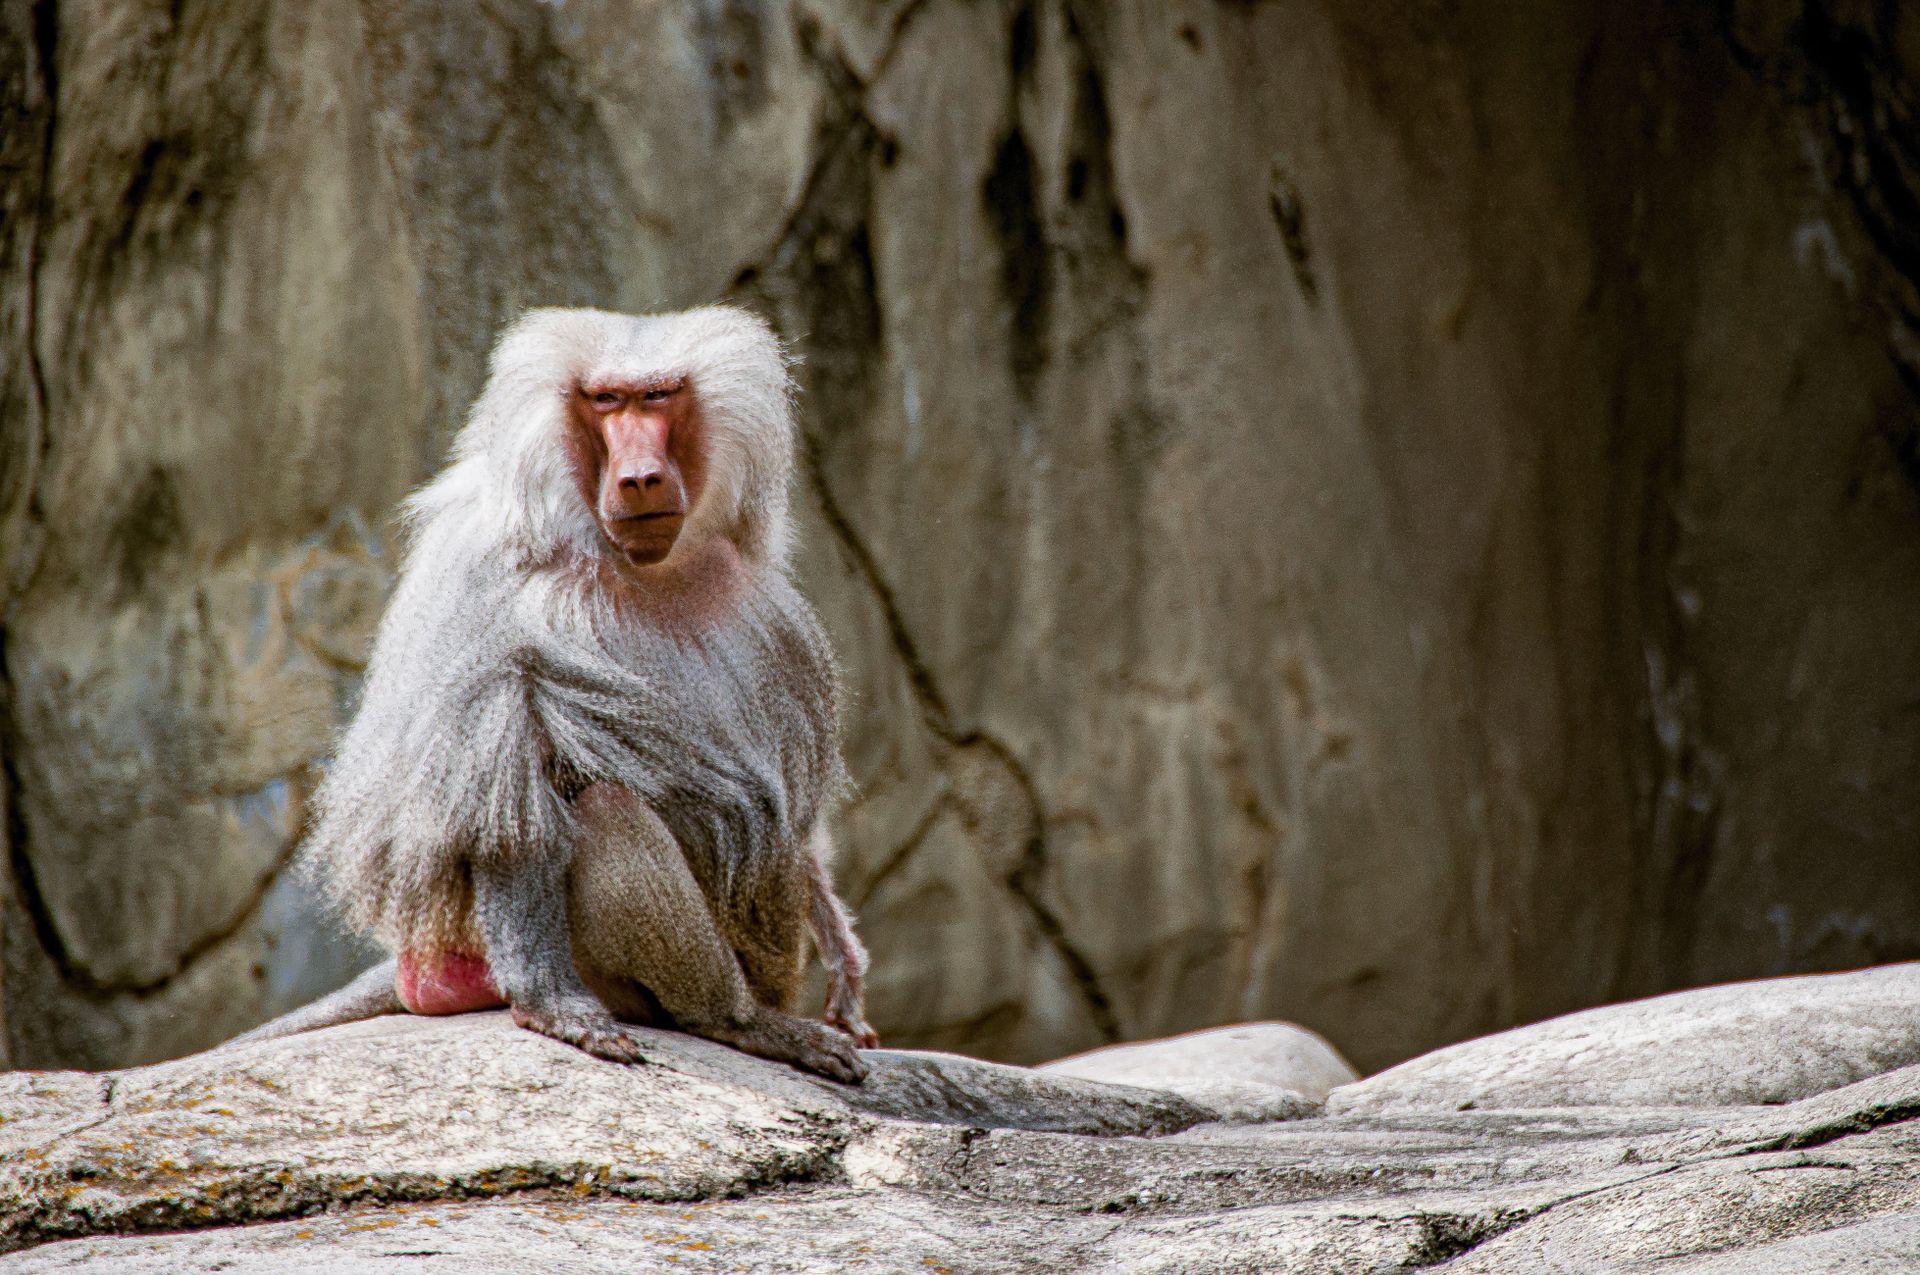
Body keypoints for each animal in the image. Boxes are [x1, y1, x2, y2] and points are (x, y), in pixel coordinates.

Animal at [229, 306, 877, 1083]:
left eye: (657, 397)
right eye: (606, 402)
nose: (640, 478)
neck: (643, 568)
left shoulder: (775, 616)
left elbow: (800, 828)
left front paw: (845, 963)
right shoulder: (487, 582)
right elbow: (505, 805)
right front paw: (554, 1007)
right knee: (600, 812)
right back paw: (738, 1021)